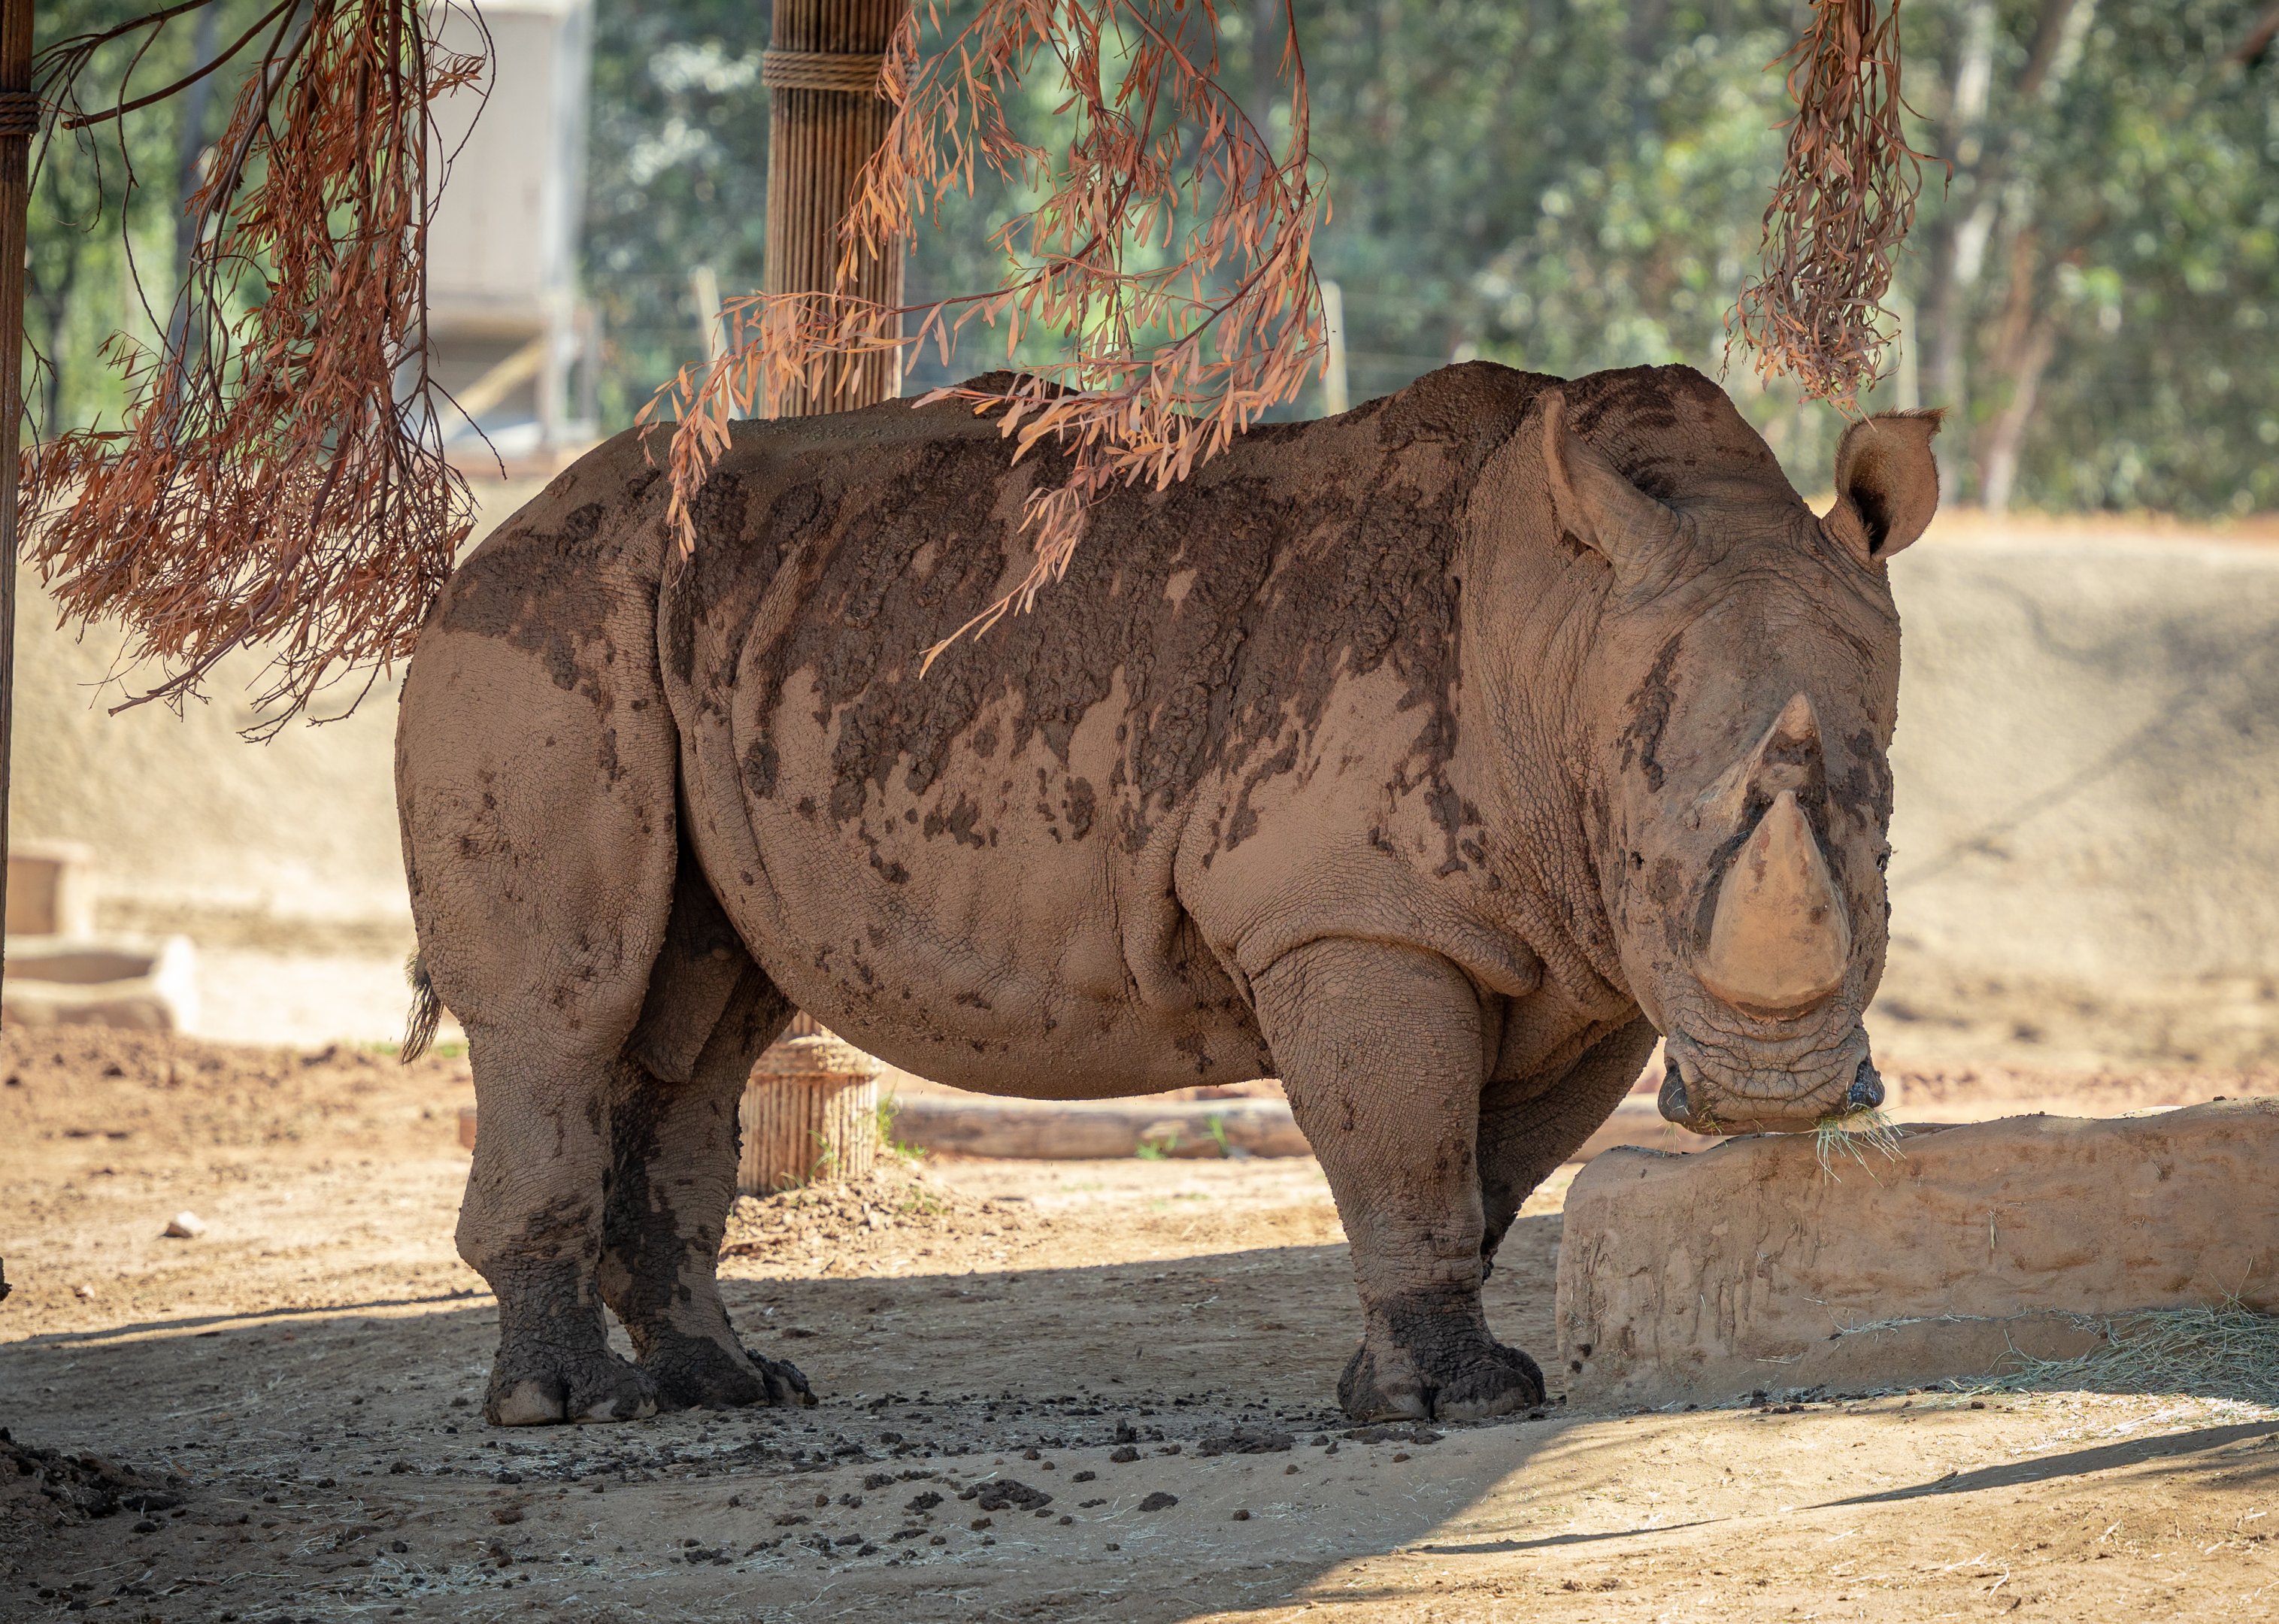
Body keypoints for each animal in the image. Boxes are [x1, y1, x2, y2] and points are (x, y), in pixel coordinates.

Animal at [397, 361, 1939, 1427]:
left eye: (1881, 855)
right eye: (1655, 851)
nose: (1778, 1100)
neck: (1562, 642)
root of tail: (490, 535)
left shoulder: (1577, 955)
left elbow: (1483, 1171)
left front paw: (1390, 1385)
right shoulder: (1356, 913)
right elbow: (1411, 1152)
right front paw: (1459, 1404)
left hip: (706, 638)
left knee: (703, 1020)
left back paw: (728, 1391)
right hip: (544, 622)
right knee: (567, 1013)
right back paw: (567, 1412)